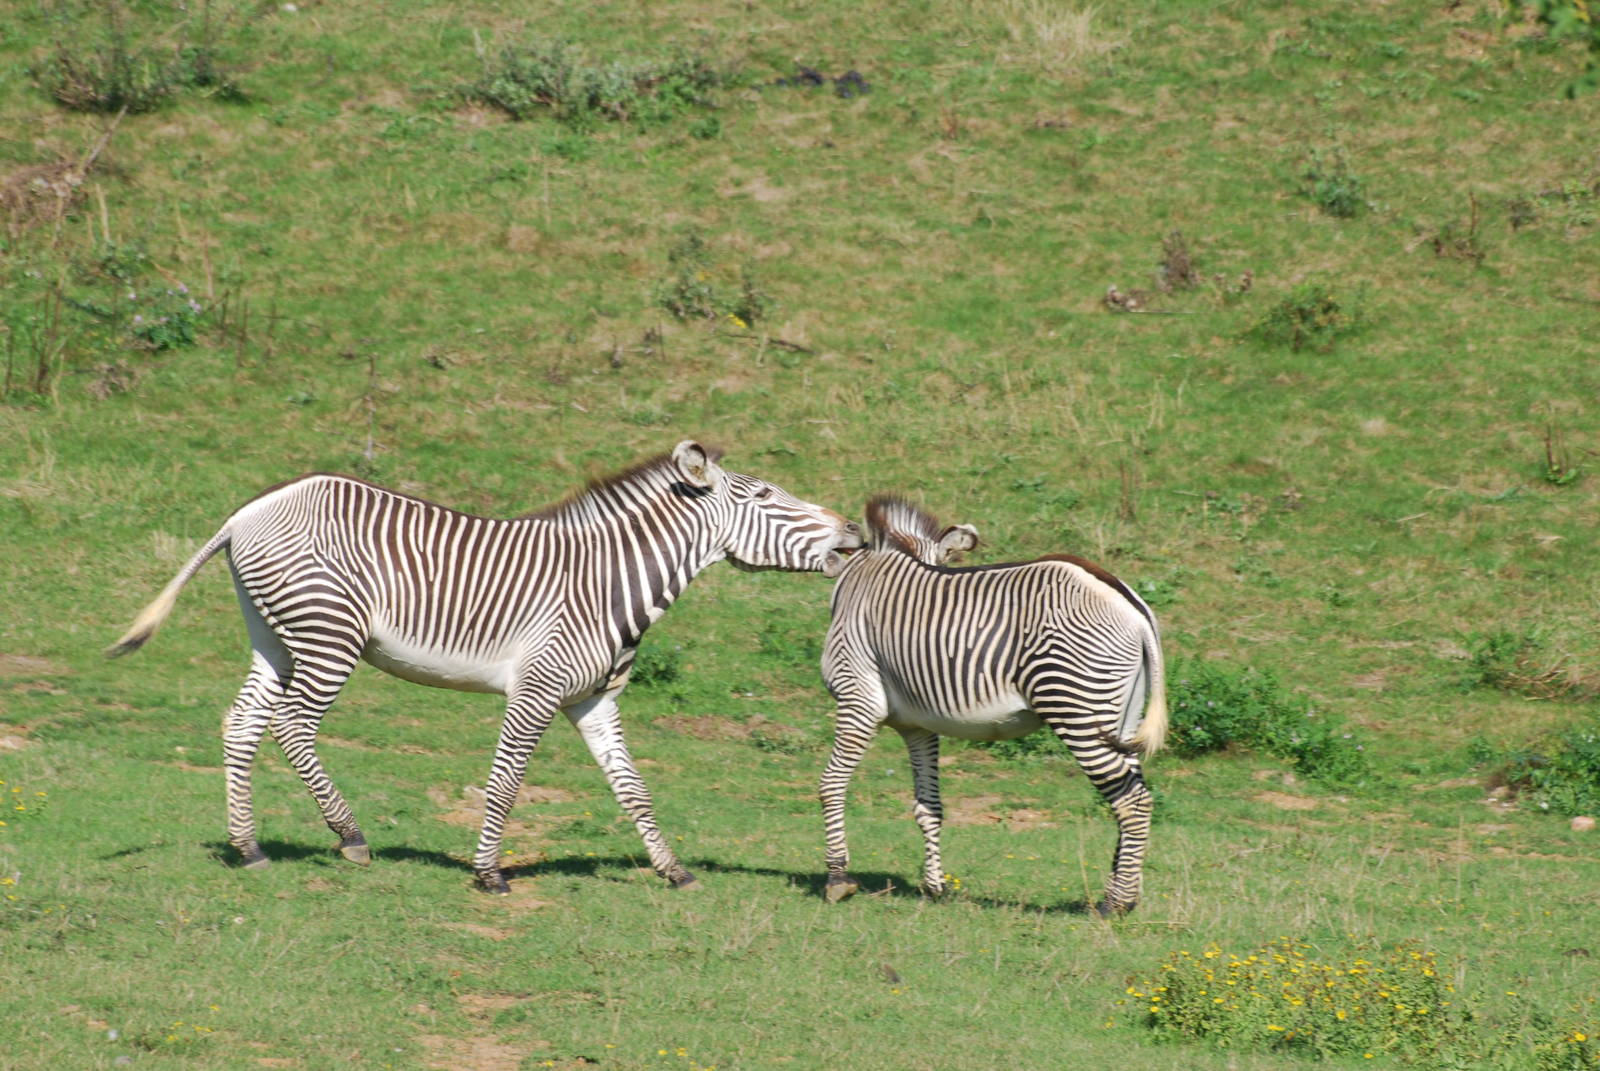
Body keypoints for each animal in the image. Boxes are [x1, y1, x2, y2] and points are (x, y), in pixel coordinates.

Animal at [107, 441, 862, 895]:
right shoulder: (537, 688)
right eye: (765, 496)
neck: (608, 583)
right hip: (329, 634)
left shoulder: (594, 700)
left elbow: (634, 789)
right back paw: (350, 836)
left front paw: (674, 871)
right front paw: (488, 872)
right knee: (291, 726)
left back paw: (249, 847)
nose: (854, 530)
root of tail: (249, 510)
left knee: (242, 723)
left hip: (275, 633)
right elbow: (505, 784)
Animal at [818, 495, 1167, 916]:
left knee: (1132, 801)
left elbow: (831, 783)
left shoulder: (857, 698)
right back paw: (1120, 890)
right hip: (1120, 717)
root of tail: (1133, 607)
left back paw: (1116, 904)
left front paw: (838, 878)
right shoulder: (918, 725)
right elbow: (928, 806)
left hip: (1075, 706)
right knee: (1130, 793)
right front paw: (934, 887)